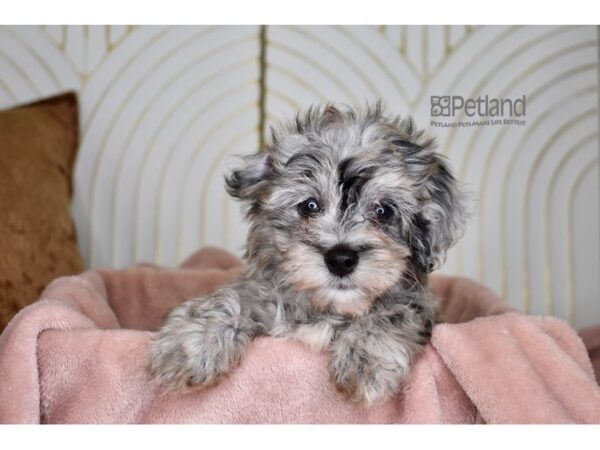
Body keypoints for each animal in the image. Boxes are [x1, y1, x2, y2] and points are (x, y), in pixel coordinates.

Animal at [146, 102, 468, 404]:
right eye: (309, 206)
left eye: (383, 211)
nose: (341, 259)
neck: (328, 309)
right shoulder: (264, 296)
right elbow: (234, 297)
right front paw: (191, 345)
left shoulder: (418, 304)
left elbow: (394, 312)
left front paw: (365, 357)